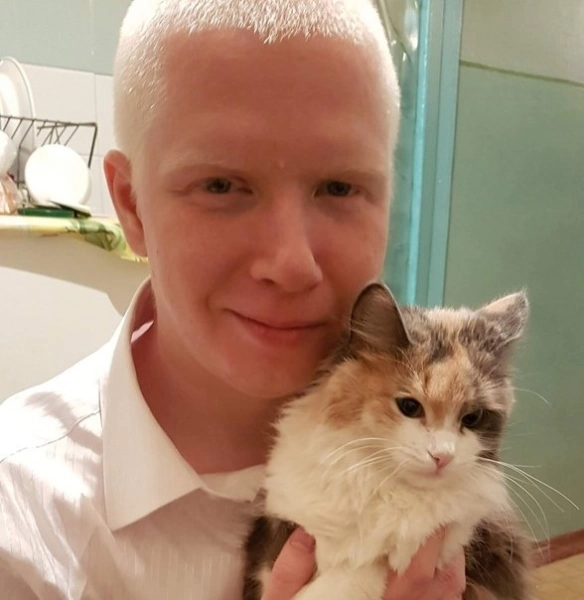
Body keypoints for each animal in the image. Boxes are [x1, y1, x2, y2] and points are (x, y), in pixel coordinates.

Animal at [243, 283, 533, 600]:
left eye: (473, 418)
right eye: (409, 406)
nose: (442, 456)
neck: (384, 488)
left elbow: (361, 571)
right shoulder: (280, 530)